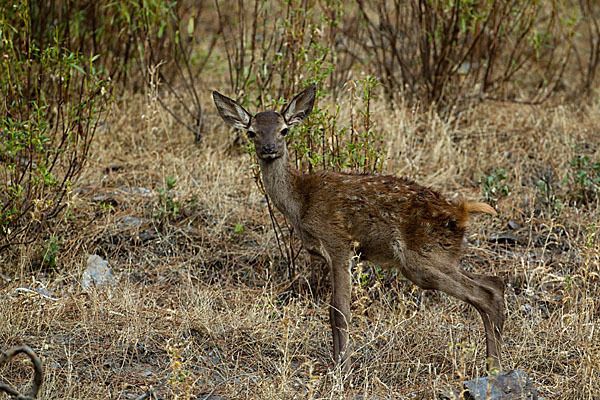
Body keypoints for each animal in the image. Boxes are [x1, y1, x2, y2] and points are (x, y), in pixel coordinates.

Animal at [213, 84, 504, 372]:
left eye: (284, 129)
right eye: (251, 132)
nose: (269, 147)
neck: (300, 203)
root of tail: (461, 212)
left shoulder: (339, 242)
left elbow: (340, 310)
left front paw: (344, 369)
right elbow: (332, 310)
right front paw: (335, 363)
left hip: (422, 257)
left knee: (484, 293)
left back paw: (493, 367)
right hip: (439, 256)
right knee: (494, 282)